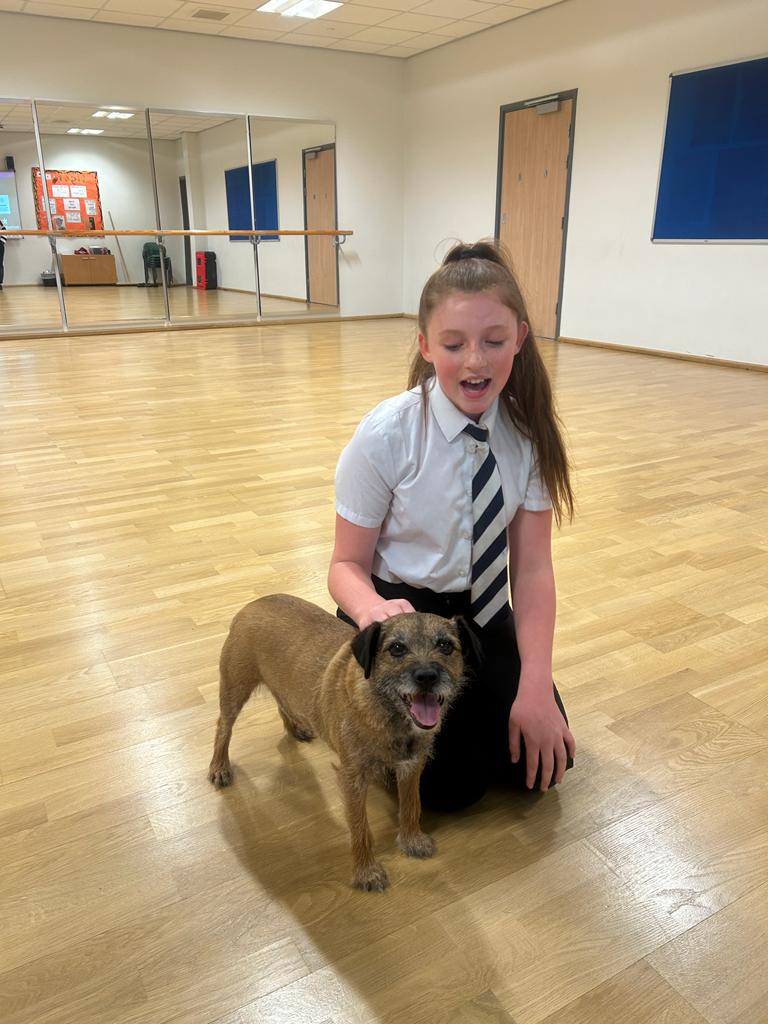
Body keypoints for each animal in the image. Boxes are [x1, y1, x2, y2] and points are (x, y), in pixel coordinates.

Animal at [207, 598, 479, 892]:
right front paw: (366, 871)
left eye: (446, 646)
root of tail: (253, 603)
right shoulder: (353, 779)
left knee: (283, 700)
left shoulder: (411, 766)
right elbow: (360, 828)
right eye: (396, 648)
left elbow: (411, 806)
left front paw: (411, 840)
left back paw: (295, 728)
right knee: (223, 726)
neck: (388, 713)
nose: (427, 676)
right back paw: (219, 766)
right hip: (235, 688)